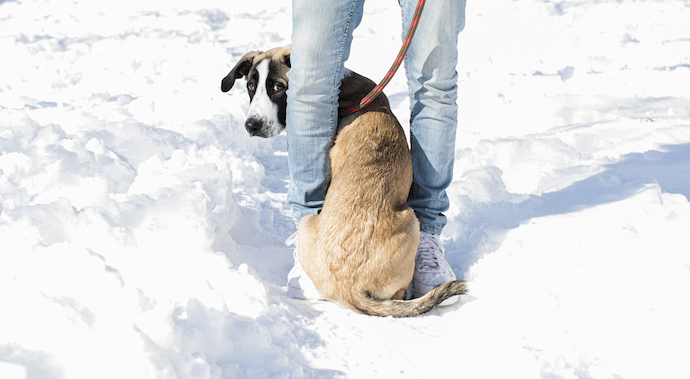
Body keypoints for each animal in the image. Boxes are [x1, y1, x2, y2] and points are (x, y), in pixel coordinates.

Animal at [220, 45, 468, 318]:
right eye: (251, 86)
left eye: (278, 87)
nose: (251, 126)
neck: (346, 97)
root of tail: (350, 289)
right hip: (409, 218)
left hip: (309, 222)